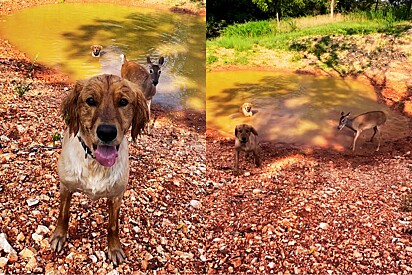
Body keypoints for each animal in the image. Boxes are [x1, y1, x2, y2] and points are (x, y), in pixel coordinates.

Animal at [49, 74, 149, 266]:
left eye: (123, 102)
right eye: (90, 101)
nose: (107, 132)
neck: (95, 163)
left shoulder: (117, 196)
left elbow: (113, 226)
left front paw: (114, 248)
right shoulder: (66, 187)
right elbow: (63, 214)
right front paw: (59, 236)